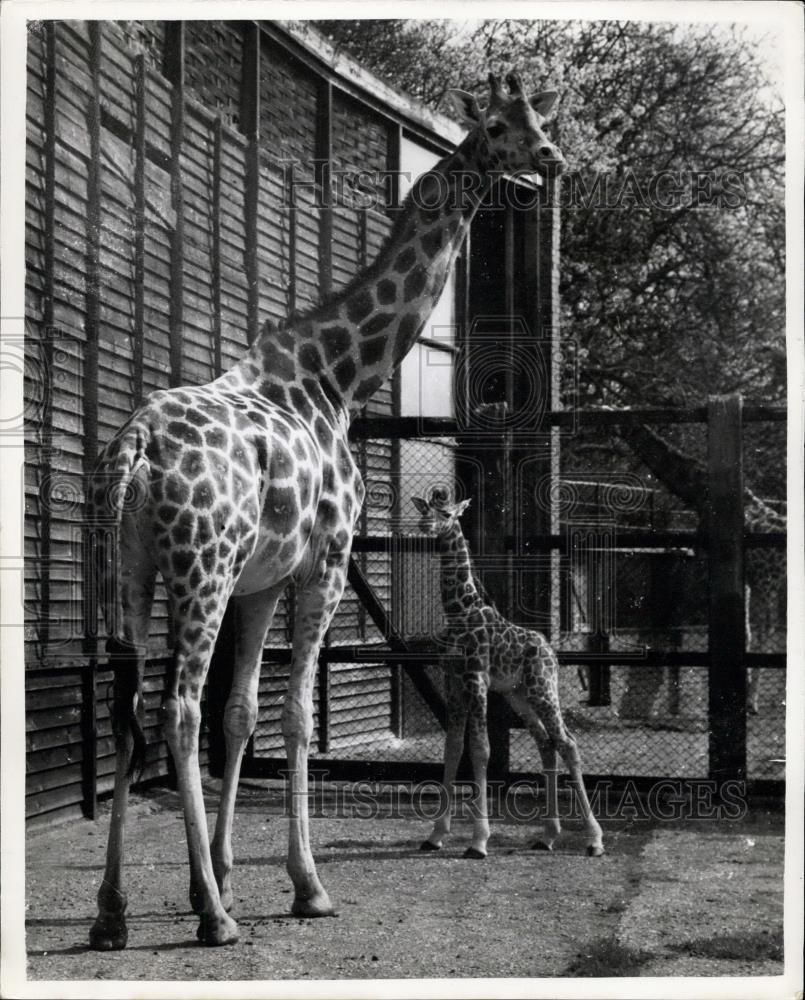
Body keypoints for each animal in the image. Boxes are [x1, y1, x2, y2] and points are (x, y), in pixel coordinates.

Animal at [88, 72, 564, 952]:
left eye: (538, 121)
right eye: (494, 126)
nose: (548, 159)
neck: (338, 377)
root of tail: (134, 446)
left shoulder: (261, 580)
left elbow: (242, 713)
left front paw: (226, 873)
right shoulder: (329, 560)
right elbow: (296, 716)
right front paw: (302, 887)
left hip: (128, 573)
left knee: (129, 713)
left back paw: (112, 912)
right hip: (199, 570)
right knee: (176, 709)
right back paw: (212, 922)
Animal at [414, 492, 604, 860]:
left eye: (447, 513)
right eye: (426, 508)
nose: (424, 524)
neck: (459, 609)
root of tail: (551, 652)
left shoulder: (476, 679)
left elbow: (481, 749)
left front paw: (478, 841)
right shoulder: (454, 681)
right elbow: (453, 748)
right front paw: (435, 835)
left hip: (543, 689)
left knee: (567, 742)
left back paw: (594, 840)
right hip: (520, 696)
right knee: (546, 743)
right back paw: (547, 836)